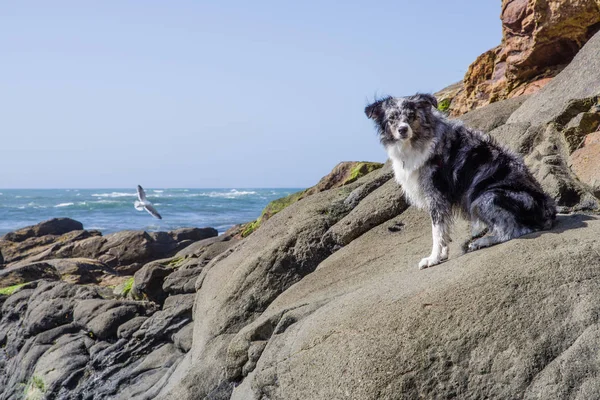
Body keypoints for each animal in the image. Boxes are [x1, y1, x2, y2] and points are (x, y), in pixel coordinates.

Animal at [366, 94, 556, 268]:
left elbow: (437, 230)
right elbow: (444, 230)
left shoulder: (436, 193)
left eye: (411, 115)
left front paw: (432, 259)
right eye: (392, 118)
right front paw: (442, 254)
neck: (416, 141)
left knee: (514, 230)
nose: (403, 129)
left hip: (485, 197)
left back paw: (481, 242)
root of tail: (548, 212)